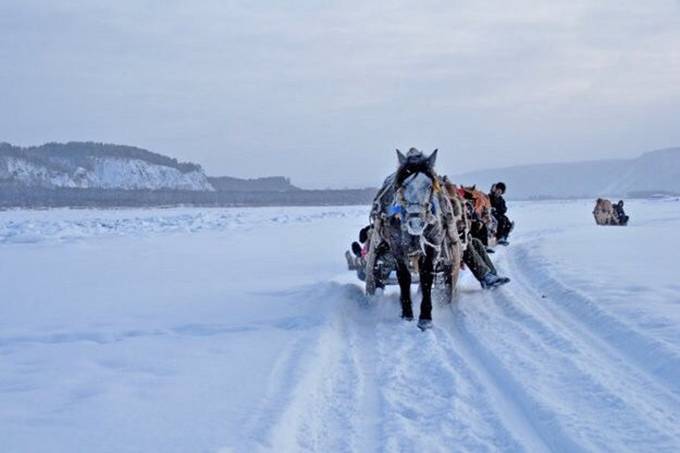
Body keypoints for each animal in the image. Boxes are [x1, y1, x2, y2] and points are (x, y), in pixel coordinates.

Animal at [370, 148, 460, 328]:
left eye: (429, 186)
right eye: (404, 185)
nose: (416, 222)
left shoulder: (433, 246)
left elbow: (426, 278)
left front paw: (425, 317)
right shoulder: (397, 247)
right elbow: (404, 277)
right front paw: (407, 314)